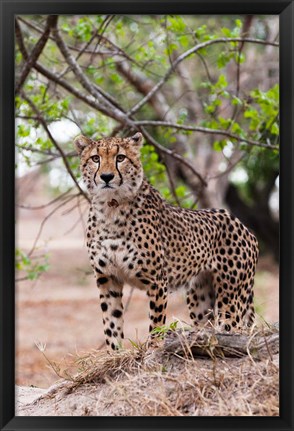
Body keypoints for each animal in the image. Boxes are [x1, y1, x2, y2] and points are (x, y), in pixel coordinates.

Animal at [74, 133, 258, 352]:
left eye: (120, 158)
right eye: (95, 158)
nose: (107, 177)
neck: (110, 207)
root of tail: (243, 226)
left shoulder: (156, 281)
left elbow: (156, 319)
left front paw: (154, 346)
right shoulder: (107, 278)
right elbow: (111, 322)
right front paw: (113, 352)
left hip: (231, 298)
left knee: (233, 327)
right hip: (200, 298)